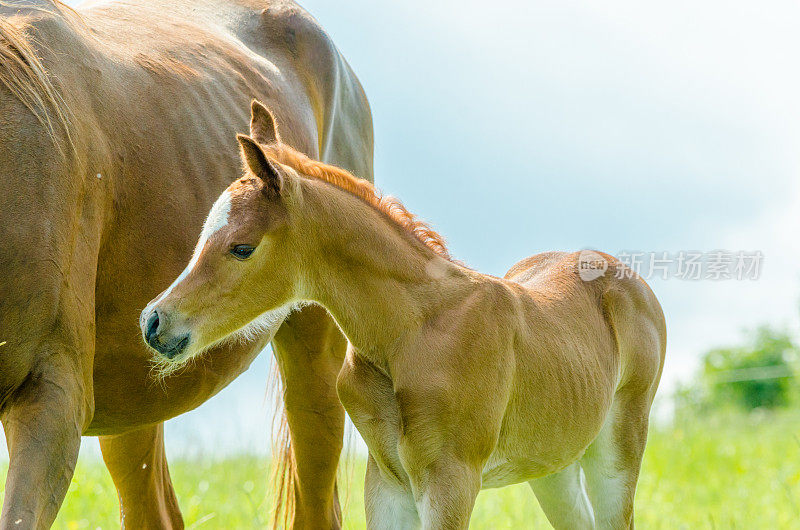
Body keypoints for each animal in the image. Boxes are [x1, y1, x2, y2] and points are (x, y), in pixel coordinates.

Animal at [142, 101, 664, 524]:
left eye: (242, 248)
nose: (154, 322)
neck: (408, 332)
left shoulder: (451, 479)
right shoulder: (387, 483)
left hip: (617, 451)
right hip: (552, 465)